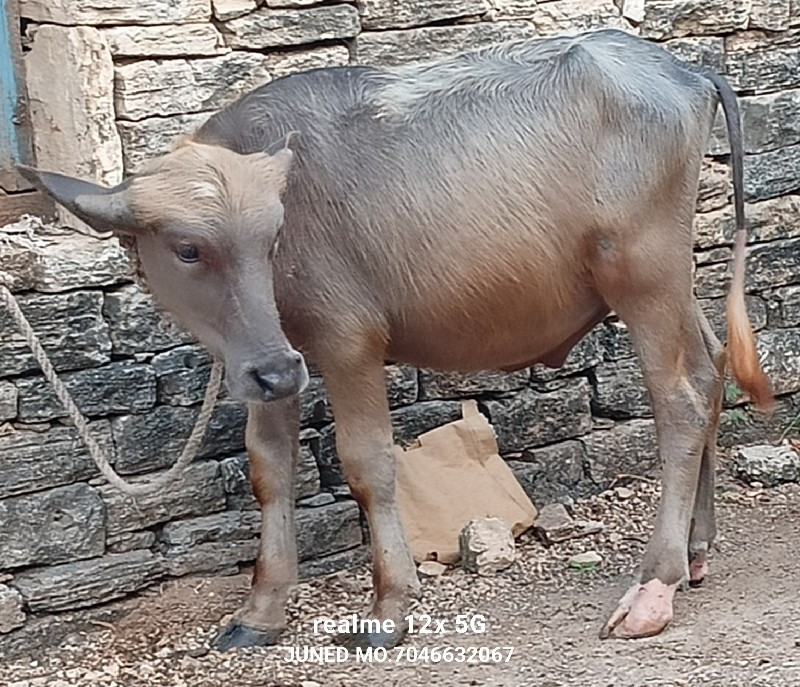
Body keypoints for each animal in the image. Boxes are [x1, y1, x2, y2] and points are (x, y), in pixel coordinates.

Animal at [21, 28, 772, 652]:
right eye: (188, 248)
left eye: (270, 237)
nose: (274, 370)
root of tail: (685, 69)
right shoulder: (268, 358)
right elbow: (270, 468)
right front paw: (262, 611)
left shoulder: (346, 342)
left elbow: (368, 462)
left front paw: (389, 606)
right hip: (673, 283)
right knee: (708, 373)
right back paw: (696, 550)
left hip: (642, 277)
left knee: (678, 401)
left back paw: (654, 585)